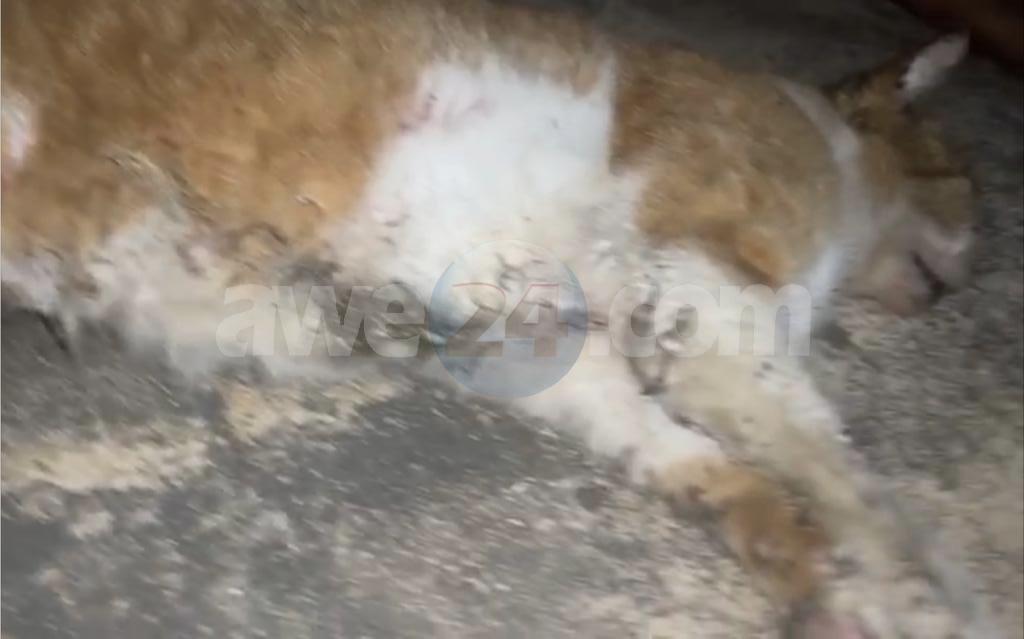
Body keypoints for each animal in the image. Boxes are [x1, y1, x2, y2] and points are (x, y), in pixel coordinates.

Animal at [1, 0, 992, 636]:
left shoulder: (538, 338)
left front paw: (790, 550)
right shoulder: (709, 293)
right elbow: (844, 471)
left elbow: (672, 445)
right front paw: (911, 591)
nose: (974, 273)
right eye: (962, 178)